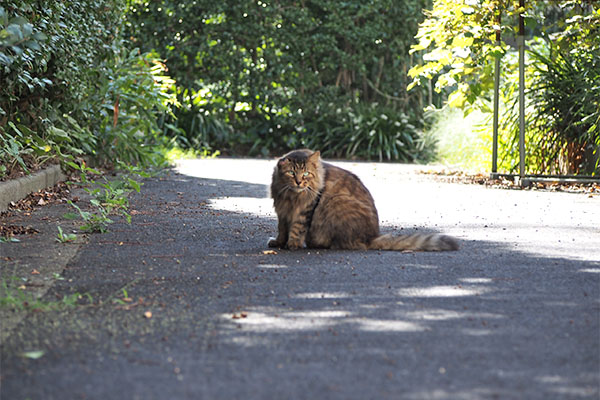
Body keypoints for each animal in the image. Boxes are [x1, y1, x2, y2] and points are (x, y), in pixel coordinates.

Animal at [268, 148, 460, 252]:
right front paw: (279, 242)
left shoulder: (305, 210)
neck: (291, 197)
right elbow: (282, 230)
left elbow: (297, 229)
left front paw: (292, 244)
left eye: (306, 173)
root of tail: (372, 237)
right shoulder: (282, 212)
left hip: (336, 201)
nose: (299, 182)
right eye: (291, 173)